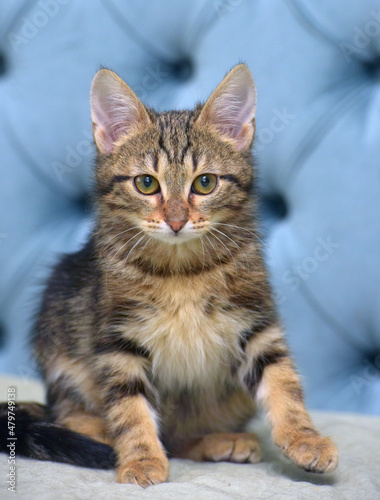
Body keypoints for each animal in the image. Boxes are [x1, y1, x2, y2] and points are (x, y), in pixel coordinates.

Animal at [0, 62, 338, 484]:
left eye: (205, 183)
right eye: (146, 183)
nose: (176, 221)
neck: (183, 270)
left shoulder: (256, 320)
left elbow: (282, 380)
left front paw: (304, 438)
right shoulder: (117, 334)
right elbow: (129, 405)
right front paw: (141, 457)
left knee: (178, 438)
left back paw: (220, 440)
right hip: (61, 344)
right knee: (69, 414)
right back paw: (101, 434)